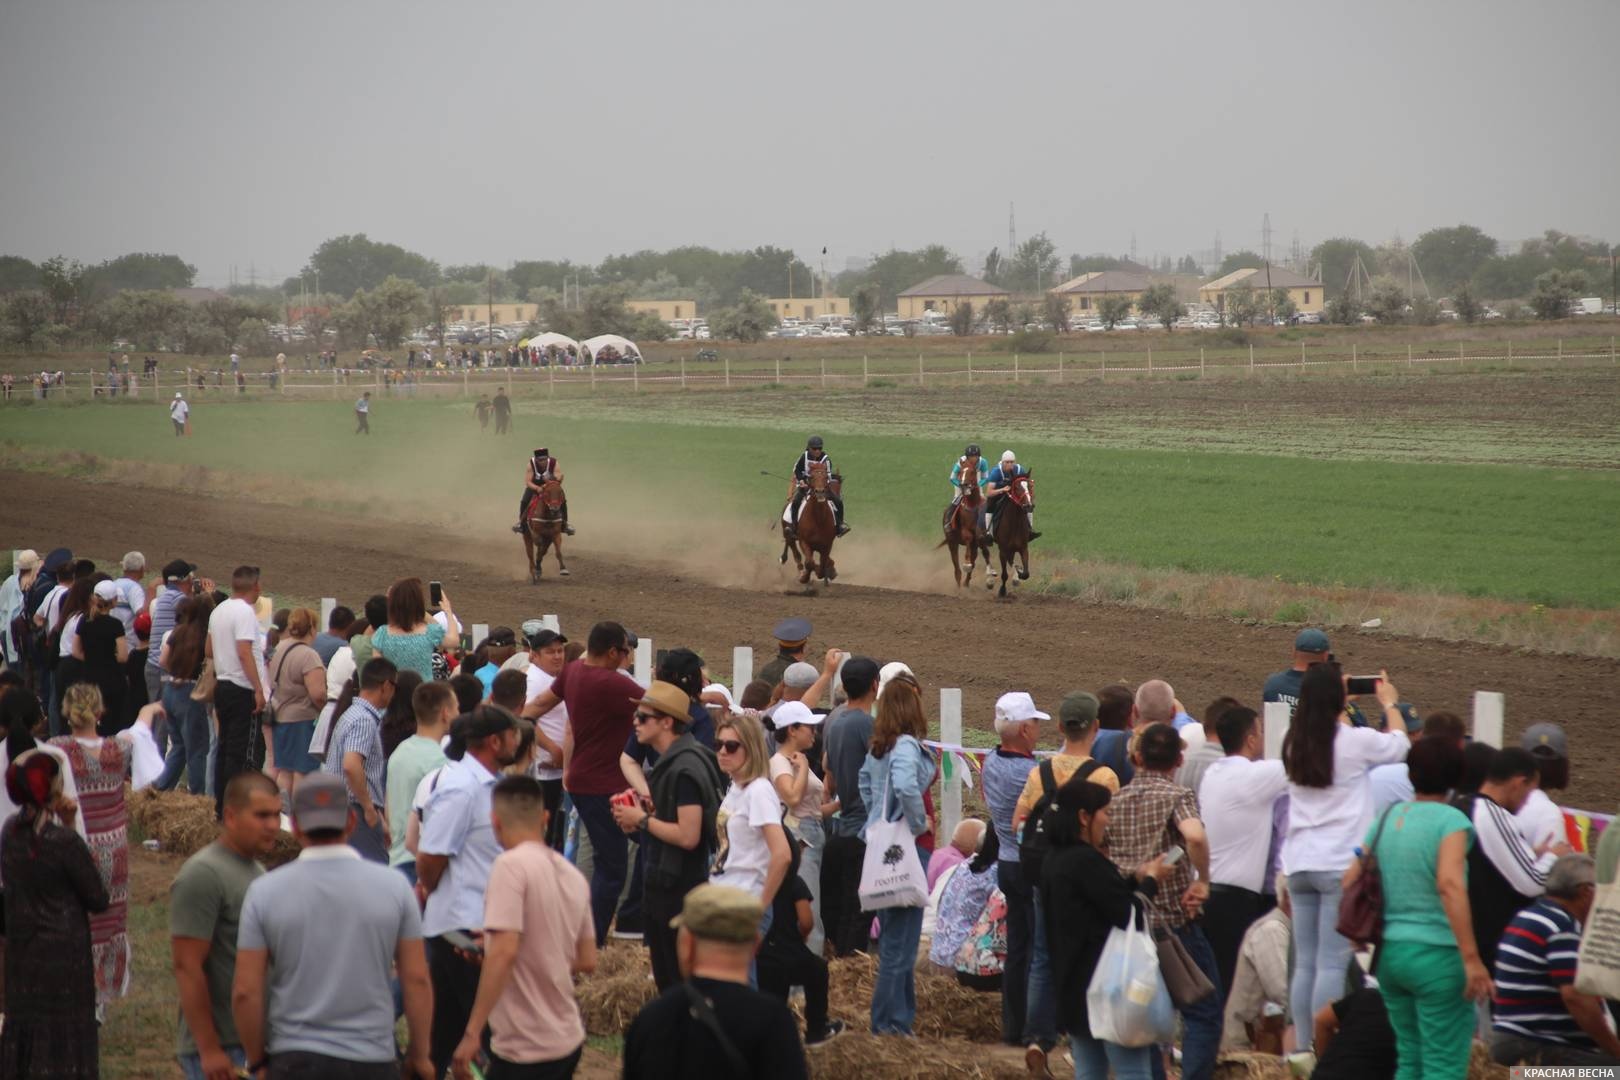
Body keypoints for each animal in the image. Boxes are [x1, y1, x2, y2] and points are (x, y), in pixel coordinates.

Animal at [946, 456, 991, 592]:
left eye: (972, 472)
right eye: (961, 472)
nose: (963, 485)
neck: (972, 505)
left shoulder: (981, 535)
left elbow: (983, 552)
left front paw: (989, 579)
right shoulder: (966, 532)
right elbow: (968, 539)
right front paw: (966, 564)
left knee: (974, 558)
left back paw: (966, 583)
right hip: (952, 542)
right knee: (956, 564)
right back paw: (959, 583)